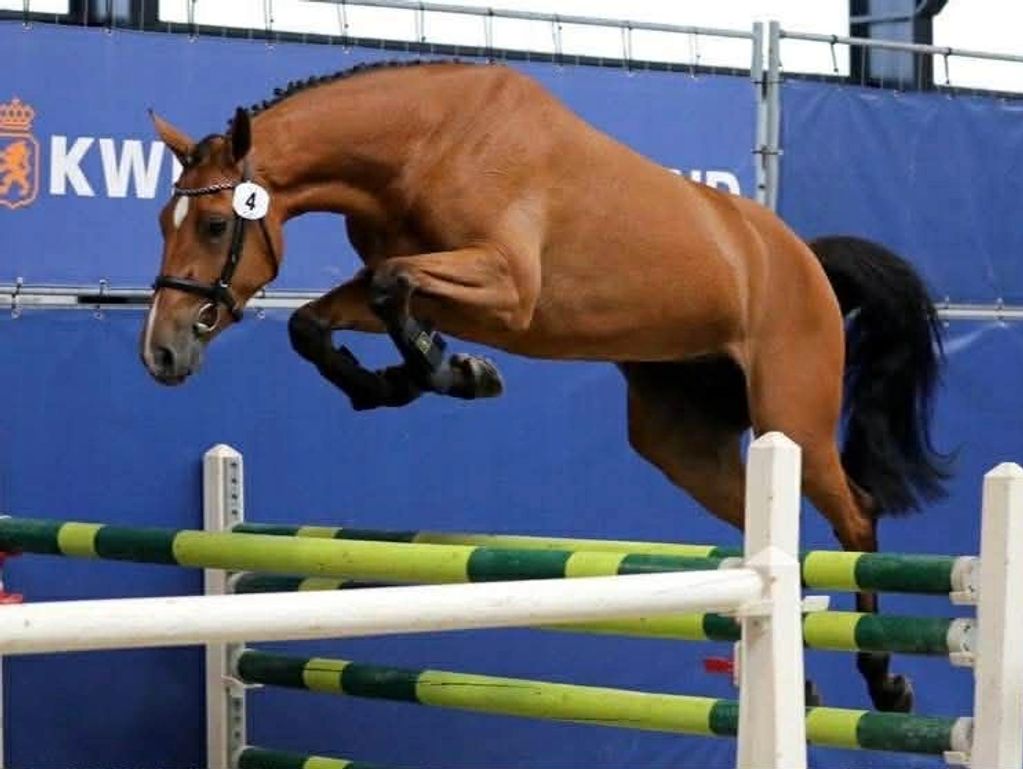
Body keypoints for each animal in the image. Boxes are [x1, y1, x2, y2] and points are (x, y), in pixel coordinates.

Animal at [141, 60, 948, 713]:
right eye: (163, 220)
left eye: (214, 225)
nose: (162, 352)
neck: (426, 146)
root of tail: (801, 254)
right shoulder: (417, 283)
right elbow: (320, 320)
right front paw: (408, 379)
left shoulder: (506, 289)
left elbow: (390, 285)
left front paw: (453, 371)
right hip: (680, 440)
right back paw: (799, 681)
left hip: (794, 417)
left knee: (856, 516)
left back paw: (884, 682)